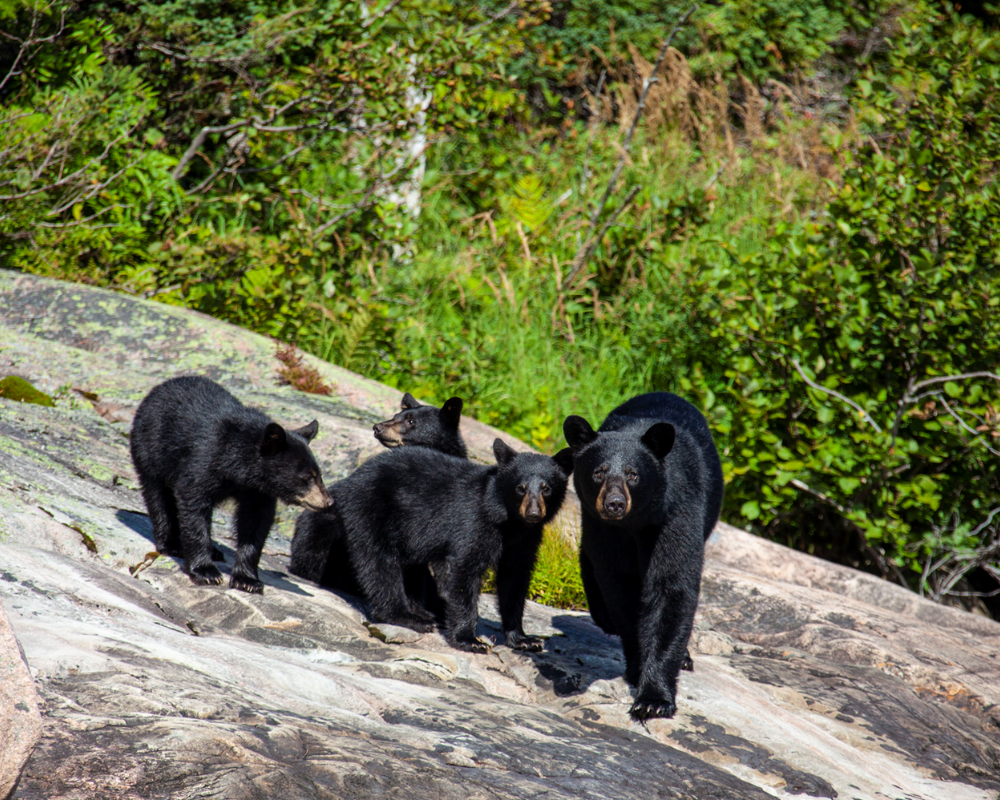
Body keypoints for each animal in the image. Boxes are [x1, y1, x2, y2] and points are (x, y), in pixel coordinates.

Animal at [127, 372, 332, 592]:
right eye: (307, 477)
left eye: (319, 474)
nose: (329, 502)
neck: (238, 467)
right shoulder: (203, 460)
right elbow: (193, 506)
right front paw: (206, 572)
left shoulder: (258, 491)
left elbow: (256, 522)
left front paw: (247, 580)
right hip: (150, 450)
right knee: (158, 496)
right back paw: (172, 544)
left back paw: (214, 550)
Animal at [316, 440, 576, 652]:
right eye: (520, 488)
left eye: (546, 488)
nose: (533, 513)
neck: (510, 521)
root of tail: (349, 479)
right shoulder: (474, 522)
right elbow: (464, 571)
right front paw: (470, 640)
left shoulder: (525, 540)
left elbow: (514, 580)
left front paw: (524, 639)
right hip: (372, 511)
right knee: (378, 563)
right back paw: (408, 617)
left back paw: (424, 611)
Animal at [564, 390, 720, 720]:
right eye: (598, 472)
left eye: (632, 474)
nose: (614, 504)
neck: (635, 522)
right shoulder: (606, 530)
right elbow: (620, 590)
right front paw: (638, 670)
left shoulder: (677, 512)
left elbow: (671, 587)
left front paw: (654, 699)